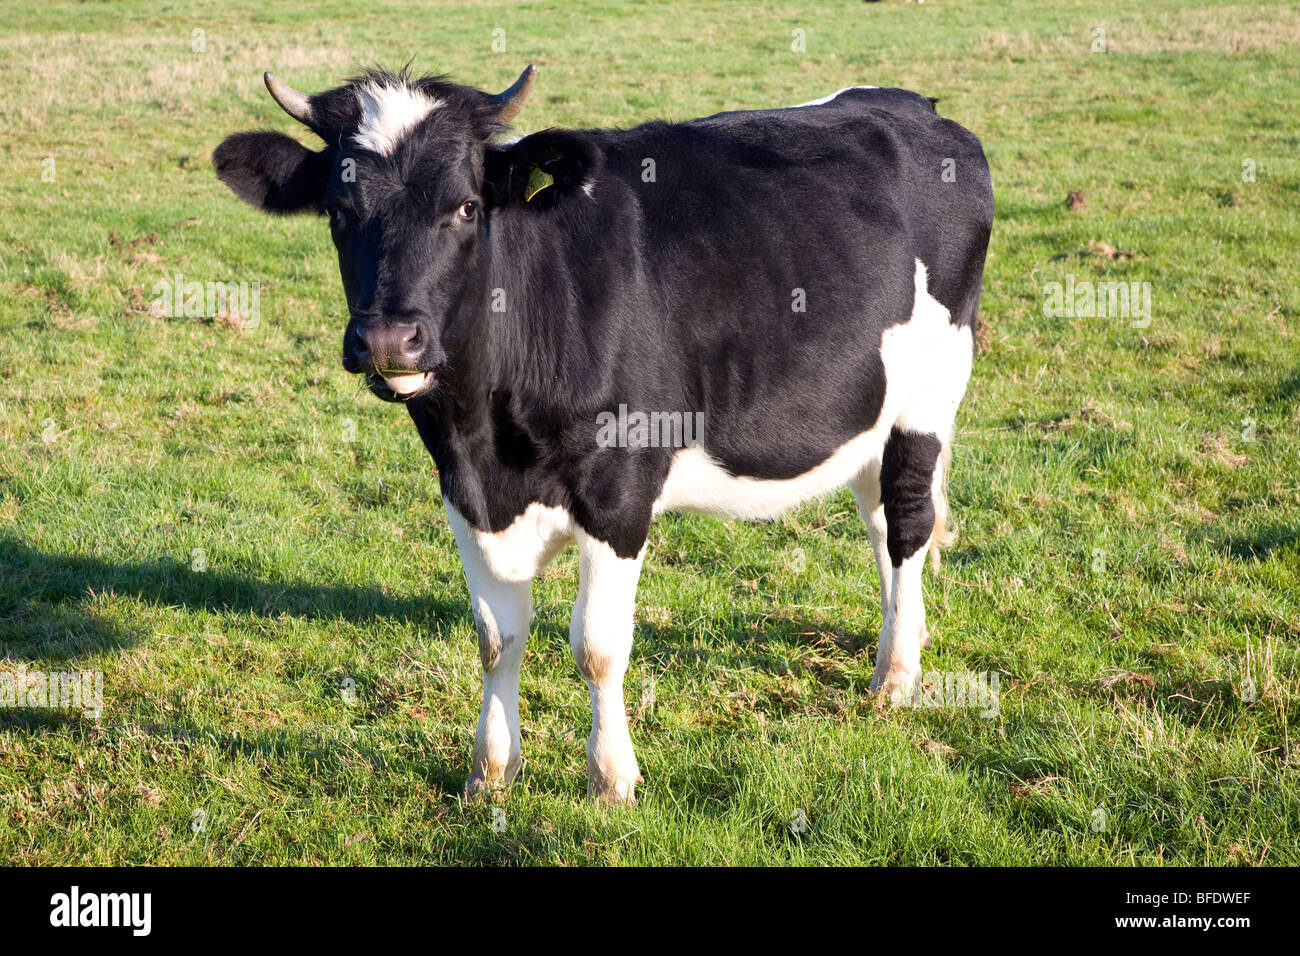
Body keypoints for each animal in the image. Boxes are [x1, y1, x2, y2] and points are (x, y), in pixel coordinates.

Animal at [215, 63, 993, 806]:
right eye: (339, 211)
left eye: (466, 207)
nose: (387, 341)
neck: (490, 443)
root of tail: (911, 105)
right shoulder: (463, 494)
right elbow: (496, 639)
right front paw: (490, 772)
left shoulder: (618, 494)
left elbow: (596, 646)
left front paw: (611, 778)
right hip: (871, 406)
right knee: (879, 518)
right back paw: (900, 640)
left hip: (932, 389)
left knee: (908, 519)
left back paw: (896, 677)